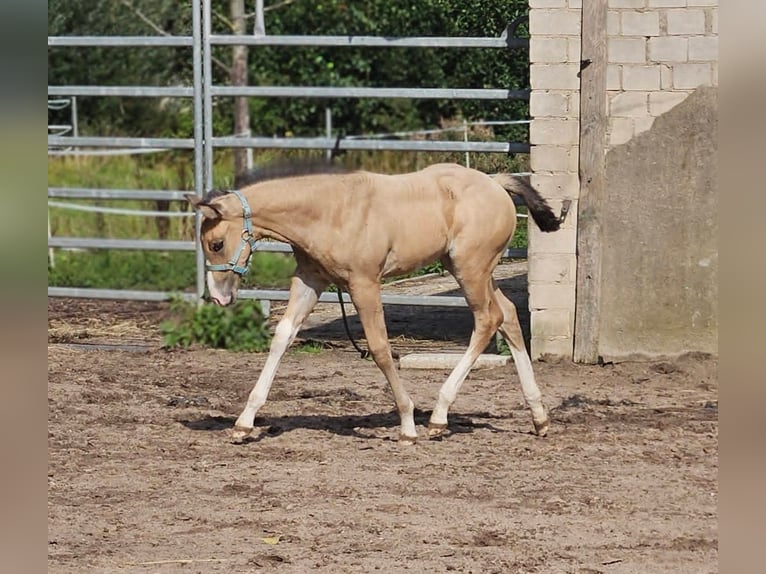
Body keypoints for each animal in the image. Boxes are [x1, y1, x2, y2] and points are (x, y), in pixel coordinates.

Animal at [187, 162, 561, 444]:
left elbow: (380, 348)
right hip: (475, 270)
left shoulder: (364, 284)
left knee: (487, 319)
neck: (330, 212)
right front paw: (244, 423)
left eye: (216, 244)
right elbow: (282, 337)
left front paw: (407, 425)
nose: (219, 296)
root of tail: (495, 184)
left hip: (470, 269)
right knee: (508, 315)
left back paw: (438, 418)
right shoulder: (310, 279)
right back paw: (539, 417)